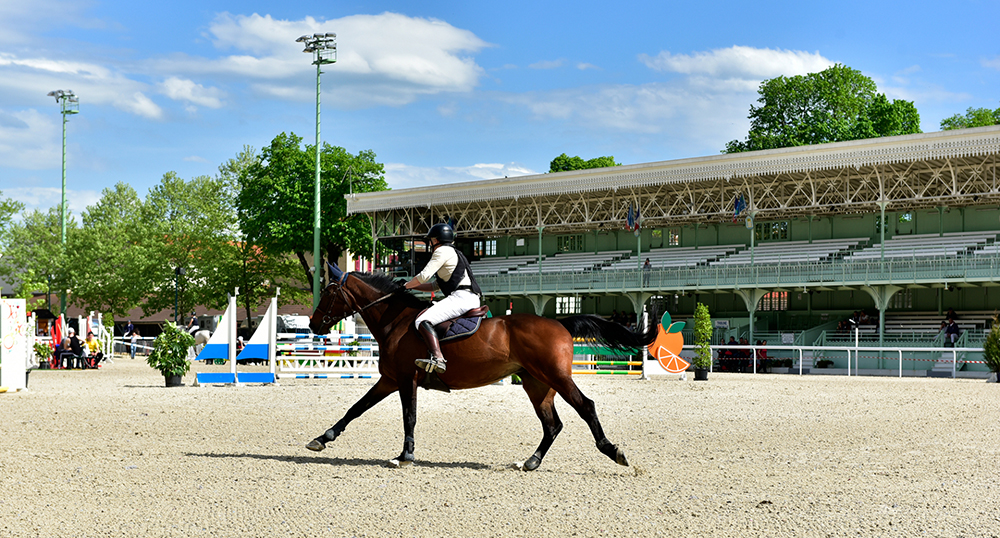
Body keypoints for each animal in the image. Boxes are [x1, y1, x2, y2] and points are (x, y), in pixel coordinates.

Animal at [308, 268, 660, 468]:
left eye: (328, 293)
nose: (313, 325)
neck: (396, 321)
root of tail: (559, 322)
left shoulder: (406, 379)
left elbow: (409, 417)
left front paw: (405, 457)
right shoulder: (390, 379)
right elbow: (356, 408)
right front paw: (323, 438)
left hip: (556, 378)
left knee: (586, 407)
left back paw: (613, 451)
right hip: (537, 384)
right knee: (552, 424)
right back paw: (531, 462)